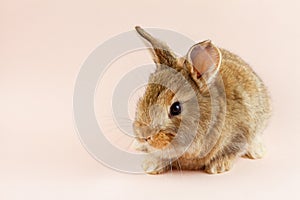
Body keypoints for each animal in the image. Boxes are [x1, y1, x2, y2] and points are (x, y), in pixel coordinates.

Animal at [132, 26, 270, 173]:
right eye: (145, 95)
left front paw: (218, 166)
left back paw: (257, 151)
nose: (144, 136)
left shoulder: (240, 135)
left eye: (176, 108)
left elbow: (232, 151)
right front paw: (151, 165)